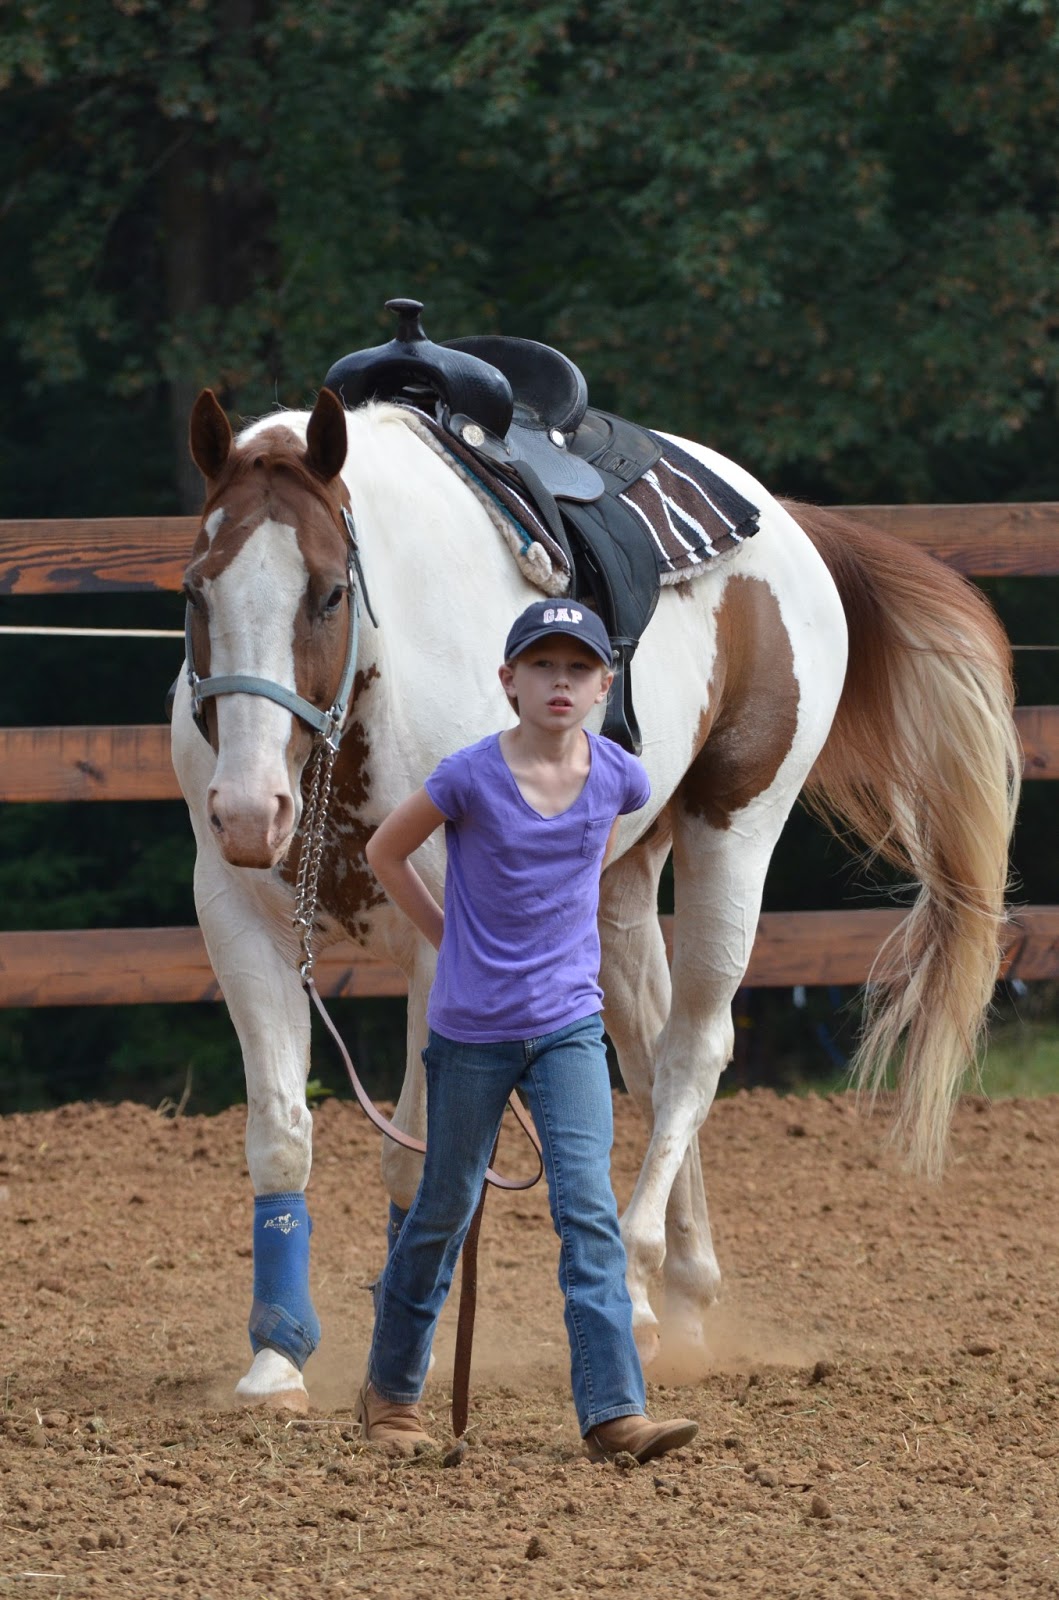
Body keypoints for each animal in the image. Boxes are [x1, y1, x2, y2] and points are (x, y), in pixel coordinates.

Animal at [171, 382, 1020, 1414]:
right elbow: (281, 1137)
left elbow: (416, 1157)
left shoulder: (437, 950)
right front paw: (277, 1358)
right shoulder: (241, 925)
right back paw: (677, 1300)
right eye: (196, 590)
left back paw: (641, 1272)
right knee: (650, 1062)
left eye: (329, 593)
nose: (249, 809)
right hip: (615, 878)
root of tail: (782, 518)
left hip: (733, 834)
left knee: (695, 1049)